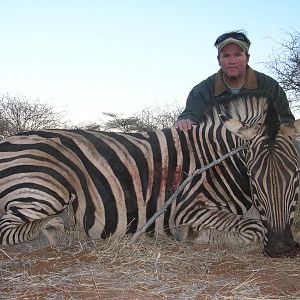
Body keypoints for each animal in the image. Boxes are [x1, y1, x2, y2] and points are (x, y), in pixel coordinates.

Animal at [0, 92, 298, 256]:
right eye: (254, 179)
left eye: (296, 176)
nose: (282, 248)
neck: (218, 162)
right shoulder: (187, 208)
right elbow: (254, 228)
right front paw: (193, 235)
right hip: (49, 187)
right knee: (8, 228)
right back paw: (52, 232)